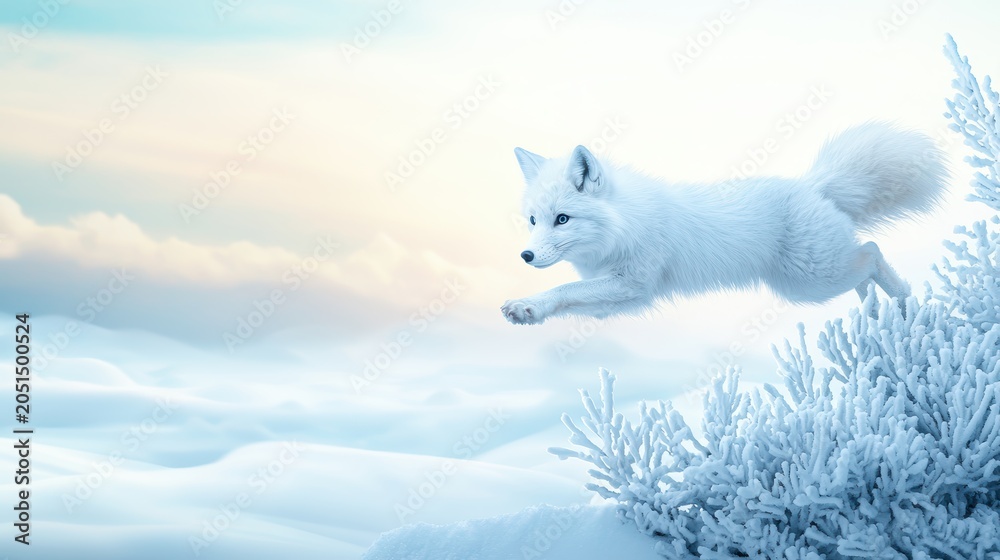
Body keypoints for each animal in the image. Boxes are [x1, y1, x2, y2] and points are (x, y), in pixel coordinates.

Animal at [501, 122, 948, 325]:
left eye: (563, 219)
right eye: (534, 220)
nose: (526, 256)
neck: (625, 223)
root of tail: (813, 186)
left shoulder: (632, 283)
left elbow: (564, 287)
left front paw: (526, 304)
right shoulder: (620, 298)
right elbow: (568, 296)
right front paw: (531, 310)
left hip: (810, 281)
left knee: (872, 252)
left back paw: (904, 304)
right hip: (814, 280)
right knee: (864, 269)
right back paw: (876, 316)